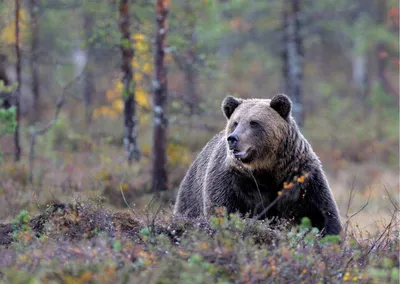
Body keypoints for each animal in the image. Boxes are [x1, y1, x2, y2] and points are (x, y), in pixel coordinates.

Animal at [173, 93, 342, 235]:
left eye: (254, 122)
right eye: (235, 122)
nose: (233, 139)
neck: (266, 170)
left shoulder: (300, 177)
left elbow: (321, 213)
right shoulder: (232, 180)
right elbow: (222, 209)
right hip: (190, 198)